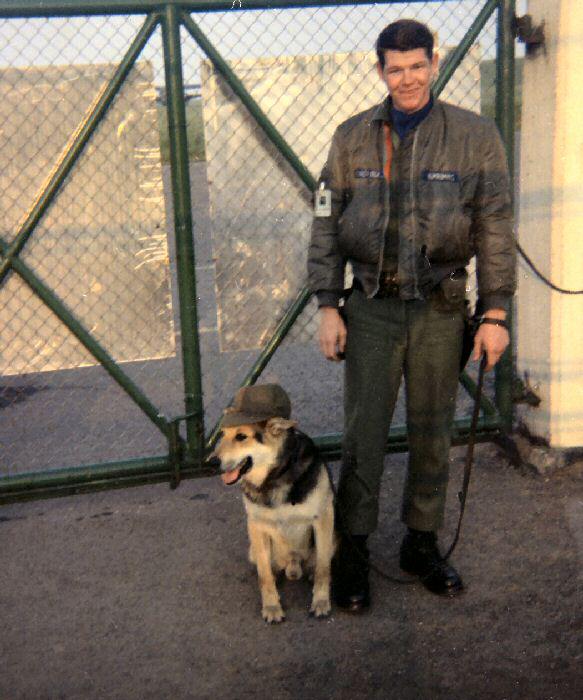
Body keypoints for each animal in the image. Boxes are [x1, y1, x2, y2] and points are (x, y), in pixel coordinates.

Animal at [210, 418, 338, 620]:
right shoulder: (256, 525)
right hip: (253, 550)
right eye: (222, 435)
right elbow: (264, 574)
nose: (211, 462)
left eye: (241, 436)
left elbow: (323, 569)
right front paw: (271, 606)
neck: (274, 478)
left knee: (318, 563)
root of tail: (293, 565)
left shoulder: (324, 517)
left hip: (333, 537)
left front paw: (321, 601)